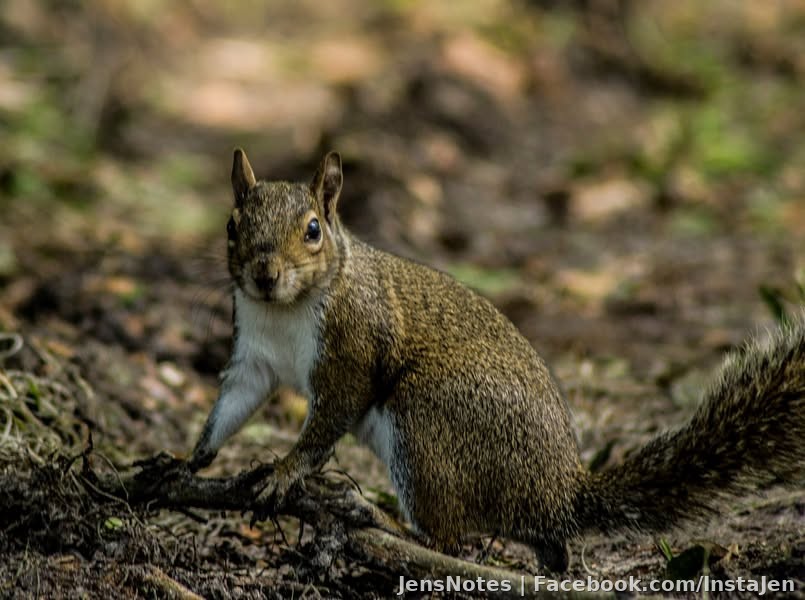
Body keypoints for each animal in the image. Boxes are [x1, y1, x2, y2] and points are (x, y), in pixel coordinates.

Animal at [188, 148, 805, 572]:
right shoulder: (254, 355)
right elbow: (235, 402)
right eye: (232, 226)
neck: (286, 310)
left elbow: (327, 422)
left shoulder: (352, 350)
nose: (264, 274)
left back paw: (381, 519)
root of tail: (558, 492)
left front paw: (283, 472)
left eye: (313, 230)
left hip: (428, 422)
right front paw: (190, 460)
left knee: (446, 538)